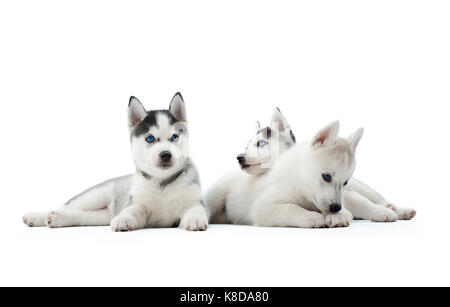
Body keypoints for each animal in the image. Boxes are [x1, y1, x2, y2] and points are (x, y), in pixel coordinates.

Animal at [22, 92, 209, 232]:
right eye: (150, 138)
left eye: (175, 137)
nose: (165, 155)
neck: (162, 183)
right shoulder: (136, 204)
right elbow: (130, 210)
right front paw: (124, 219)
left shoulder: (196, 201)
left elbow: (196, 209)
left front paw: (194, 219)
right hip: (94, 195)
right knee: (66, 206)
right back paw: (38, 217)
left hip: (101, 216)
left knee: (83, 215)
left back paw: (57, 219)